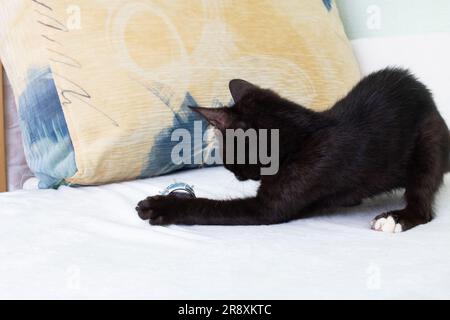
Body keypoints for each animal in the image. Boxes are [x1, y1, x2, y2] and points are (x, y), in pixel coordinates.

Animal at [135, 68, 448, 232]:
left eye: (227, 155)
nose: (234, 173)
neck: (299, 137)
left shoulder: (269, 206)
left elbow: (206, 206)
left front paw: (161, 206)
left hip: (429, 141)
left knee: (423, 199)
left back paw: (397, 218)